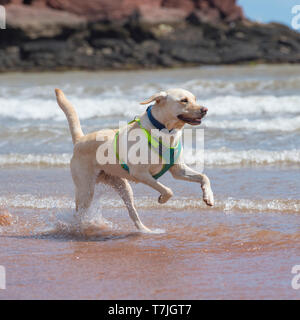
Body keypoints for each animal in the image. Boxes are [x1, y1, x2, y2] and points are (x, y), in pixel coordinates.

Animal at [55, 87, 214, 232]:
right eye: (184, 100)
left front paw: (209, 197)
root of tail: (80, 140)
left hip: (124, 187)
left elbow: (204, 176)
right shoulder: (140, 173)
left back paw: (145, 230)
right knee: (79, 212)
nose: (205, 109)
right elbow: (168, 190)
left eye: (195, 99)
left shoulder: (178, 170)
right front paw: (162, 199)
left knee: (132, 212)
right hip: (86, 190)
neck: (164, 130)